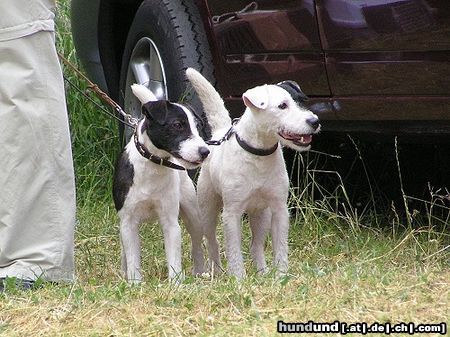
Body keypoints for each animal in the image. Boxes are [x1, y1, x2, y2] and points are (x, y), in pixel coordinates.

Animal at [112, 84, 211, 280]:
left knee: (197, 244)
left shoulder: (170, 222)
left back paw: (199, 271)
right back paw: (124, 272)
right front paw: (134, 282)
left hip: (192, 214)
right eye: (177, 125)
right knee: (124, 251)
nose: (205, 151)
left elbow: (173, 257)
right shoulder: (128, 222)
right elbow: (133, 257)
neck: (153, 165)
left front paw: (176, 282)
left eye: (198, 127)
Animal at [186, 67, 320, 276]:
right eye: (282, 106)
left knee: (255, 245)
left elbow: (280, 246)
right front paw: (238, 278)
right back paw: (217, 271)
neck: (259, 155)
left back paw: (262, 272)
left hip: (262, 215)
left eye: (302, 101)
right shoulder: (232, 213)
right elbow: (234, 250)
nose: (314, 121)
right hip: (207, 210)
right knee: (212, 242)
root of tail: (219, 133)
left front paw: (281, 275)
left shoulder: (279, 210)